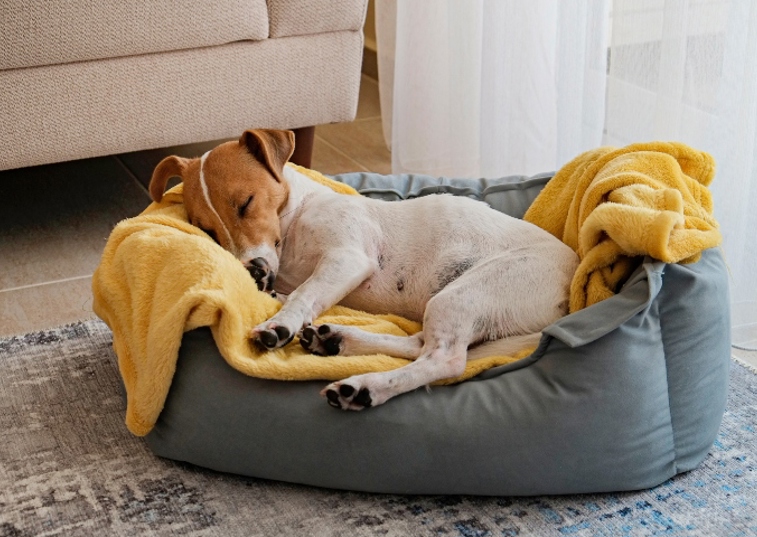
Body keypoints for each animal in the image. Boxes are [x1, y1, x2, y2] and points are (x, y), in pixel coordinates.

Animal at [148, 127, 576, 408]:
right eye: (206, 229)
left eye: (246, 203)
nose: (251, 270)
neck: (296, 218)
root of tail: (570, 295)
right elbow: (293, 293)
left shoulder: (347, 257)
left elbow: (303, 294)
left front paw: (279, 325)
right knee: (419, 344)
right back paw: (337, 339)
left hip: (464, 293)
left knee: (444, 359)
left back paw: (364, 387)